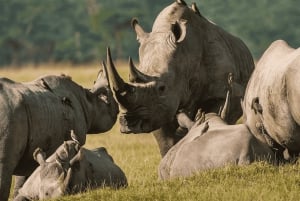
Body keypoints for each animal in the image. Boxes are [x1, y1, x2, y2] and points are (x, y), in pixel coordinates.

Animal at [105, 0, 253, 155]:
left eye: (162, 88)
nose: (129, 123)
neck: (184, 56)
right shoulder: (157, 109)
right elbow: (166, 141)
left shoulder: (221, 92)